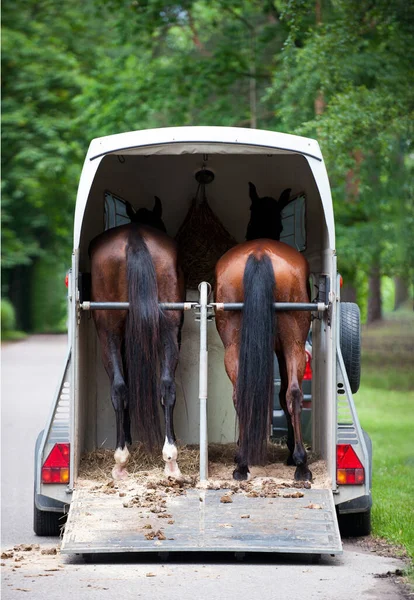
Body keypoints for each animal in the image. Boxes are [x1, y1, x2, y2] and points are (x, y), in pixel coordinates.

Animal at [90, 199, 185, 480]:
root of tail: (134, 238)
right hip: (169, 328)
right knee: (167, 385)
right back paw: (170, 458)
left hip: (108, 333)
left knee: (119, 388)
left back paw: (121, 459)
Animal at [215, 183, 312, 482]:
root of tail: (260, 253)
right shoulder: (281, 349)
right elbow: (282, 395)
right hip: (294, 341)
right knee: (293, 392)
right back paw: (301, 463)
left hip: (235, 345)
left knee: (242, 394)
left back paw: (242, 462)